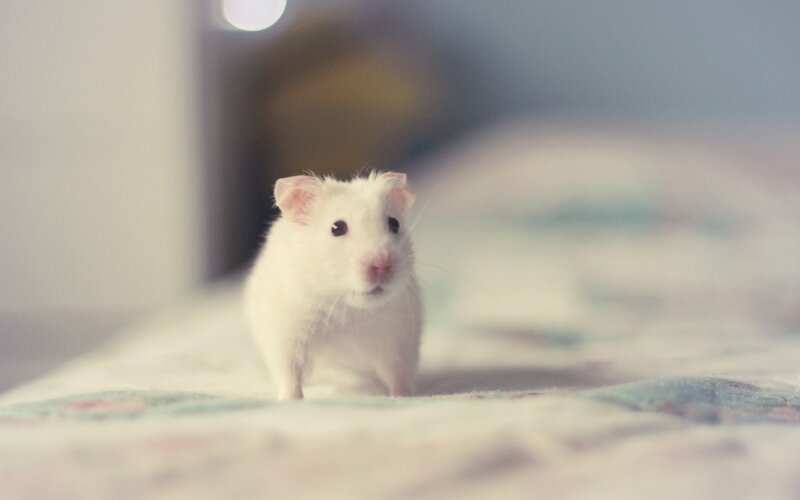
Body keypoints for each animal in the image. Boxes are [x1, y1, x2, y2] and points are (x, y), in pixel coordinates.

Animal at [244, 171, 423, 400]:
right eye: (337, 228)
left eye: (394, 224)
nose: (382, 264)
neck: (348, 308)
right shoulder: (286, 334)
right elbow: (290, 373)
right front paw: (291, 400)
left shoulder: (401, 339)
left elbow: (398, 374)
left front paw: (403, 397)